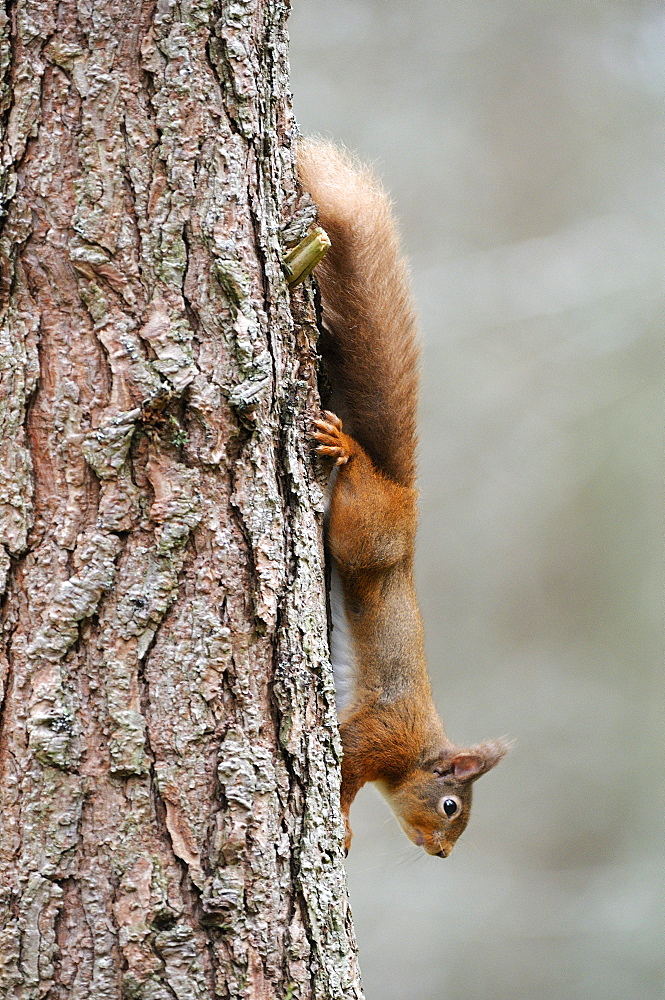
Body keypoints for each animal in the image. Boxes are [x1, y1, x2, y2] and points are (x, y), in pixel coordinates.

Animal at [296, 139, 508, 860]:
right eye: (450, 806)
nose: (440, 854)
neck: (419, 749)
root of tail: (404, 494)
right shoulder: (377, 734)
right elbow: (344, 773)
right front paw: (342, 824)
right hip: (363, 534)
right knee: (356, 479)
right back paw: (347, 446)